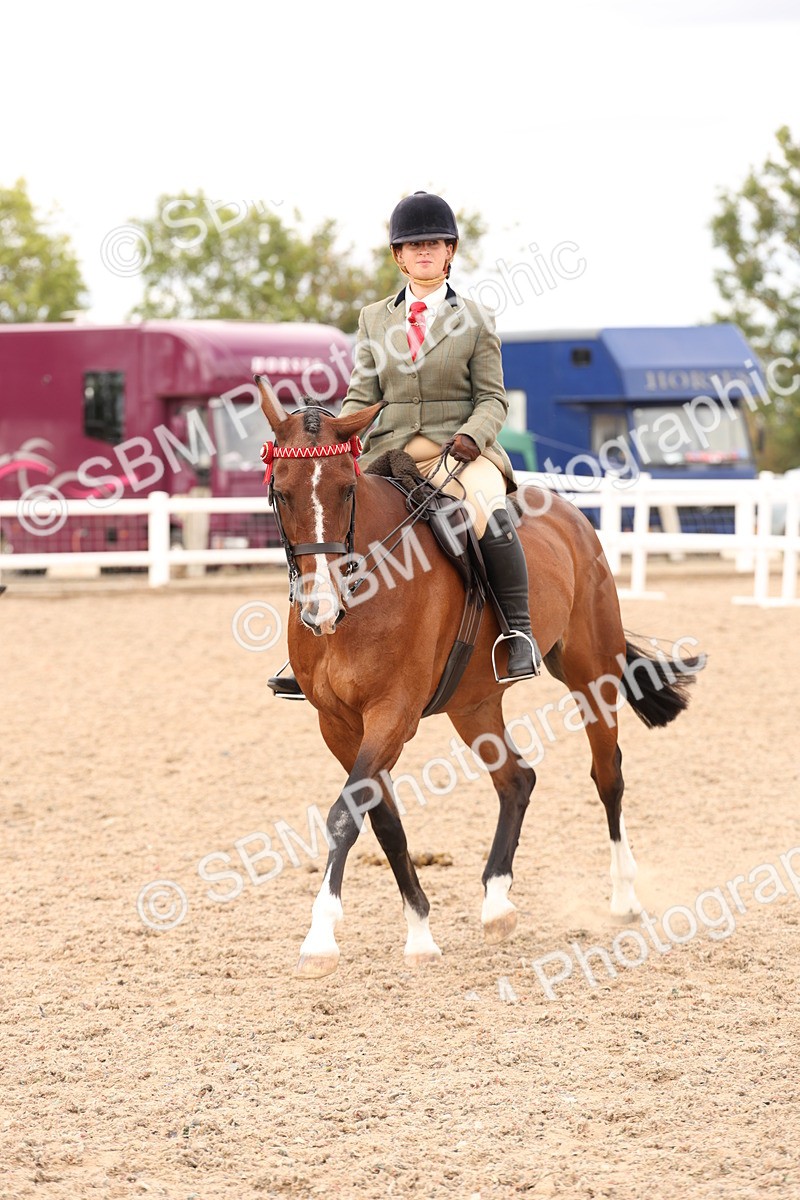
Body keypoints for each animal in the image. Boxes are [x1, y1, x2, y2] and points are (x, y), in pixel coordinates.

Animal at [255, 378, 700, 979]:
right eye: (281, 493)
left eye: (347, 490)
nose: (321, 608)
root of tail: (570, 512)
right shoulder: (339, 725)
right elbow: (383, 820)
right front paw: (420, 934)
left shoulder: (392, 714)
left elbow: (347, 814)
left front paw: (321, 937)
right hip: (475, 705)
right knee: (516, 780)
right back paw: (496, 903)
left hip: (591, 676)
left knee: (608, 775)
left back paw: (624, 897)